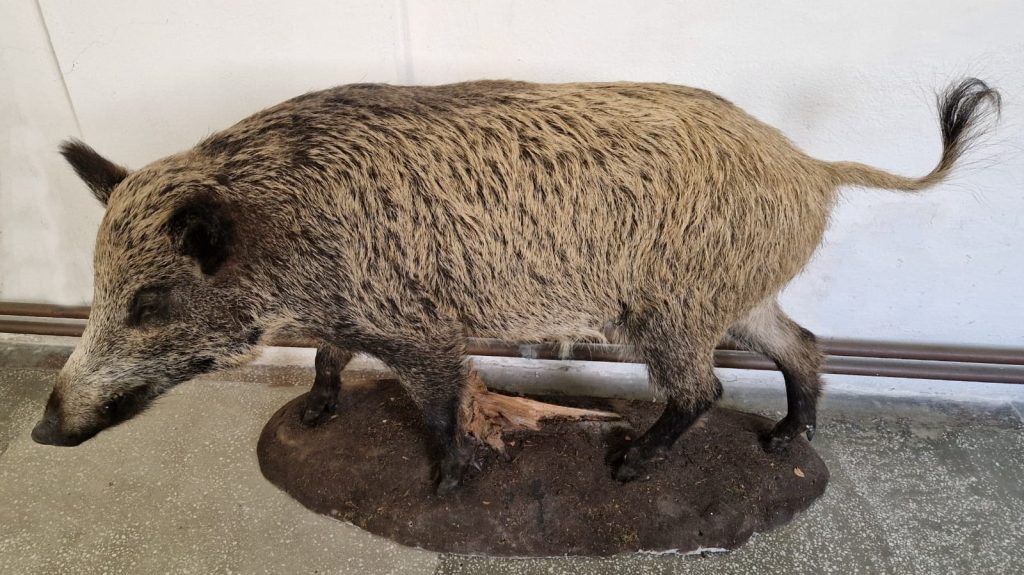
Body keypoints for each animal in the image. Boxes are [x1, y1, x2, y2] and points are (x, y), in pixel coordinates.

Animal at [31, 78, 999, 493]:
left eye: (150, 301)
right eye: (98, 283)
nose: (41, 430)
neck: (288, 230)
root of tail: (814, 167)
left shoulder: (419, 327)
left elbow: (436, 404)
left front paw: (450, 485)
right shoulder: (350, 313)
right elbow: (327, 356)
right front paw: (310, 417)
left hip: (671, 309)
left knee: (705, 387)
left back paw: (630, 465)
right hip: (739, 296)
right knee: (804, 345)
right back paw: (783, 440)